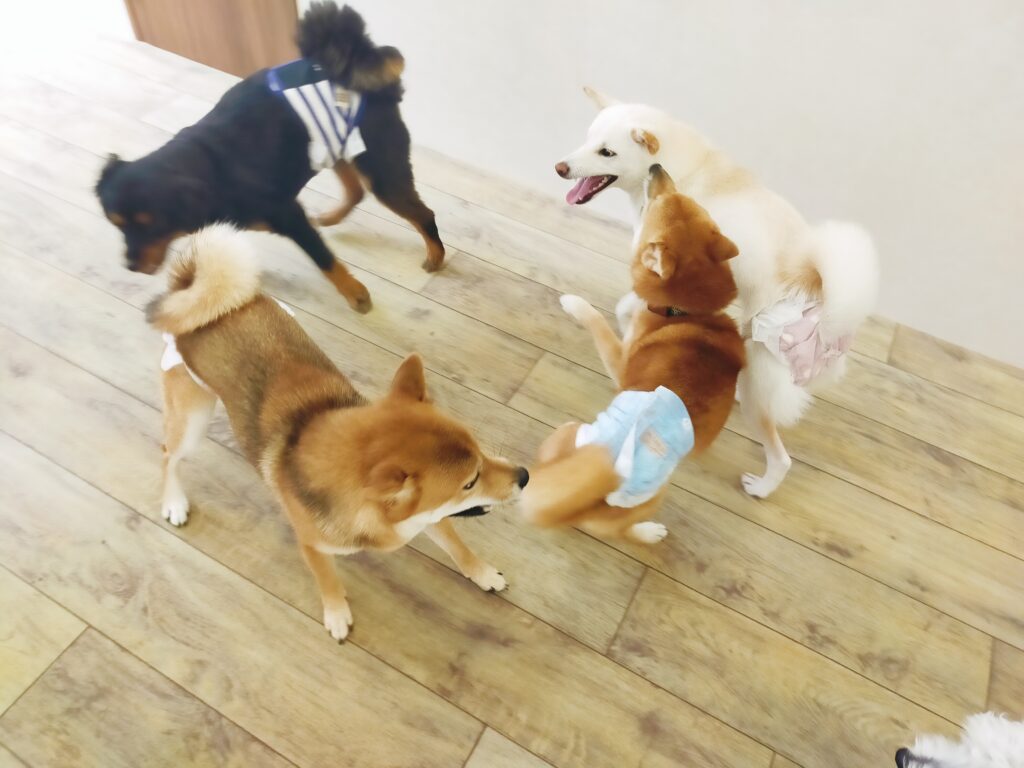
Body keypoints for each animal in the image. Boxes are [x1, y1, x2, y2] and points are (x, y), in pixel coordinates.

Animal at [97, 2, 444, 314]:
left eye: (152, 224)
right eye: (116, 224)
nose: (129, 264)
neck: (210, 171)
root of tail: (358, 63)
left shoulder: (289, 215)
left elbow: (324, 259)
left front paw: (355, 294)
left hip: (379, 168)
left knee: (422, 214)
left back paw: (436, 255)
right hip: (334, 147)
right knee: (355, 190)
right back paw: (332, 217)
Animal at [147, 225, 528, 641]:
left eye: (480, 450)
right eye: (470, 482)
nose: (525, 475)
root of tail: (196, 297)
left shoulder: (427, 519)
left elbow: (458, 547)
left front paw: (483, 573)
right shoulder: (312, 545)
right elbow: (327, 580)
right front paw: (336, 614)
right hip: (193, 418)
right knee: (167, 454)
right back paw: (174, 502)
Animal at [519, 166, 743, 542]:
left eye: (656, 202)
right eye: (680, 197)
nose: (657, 168)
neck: (686, 311)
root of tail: (586, 502)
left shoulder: (621, 362)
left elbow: (602, 323)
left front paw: (576, 304)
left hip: (572, 434)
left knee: (616, 531)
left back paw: (648, 533)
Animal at [556, 87, 879, 497]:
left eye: (606, 153)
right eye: (587, 140)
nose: (560, 167)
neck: (686, 169)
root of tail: (833, 326)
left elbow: (628, 305)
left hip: (762, 379)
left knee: (780, 455)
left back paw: (762, 487)